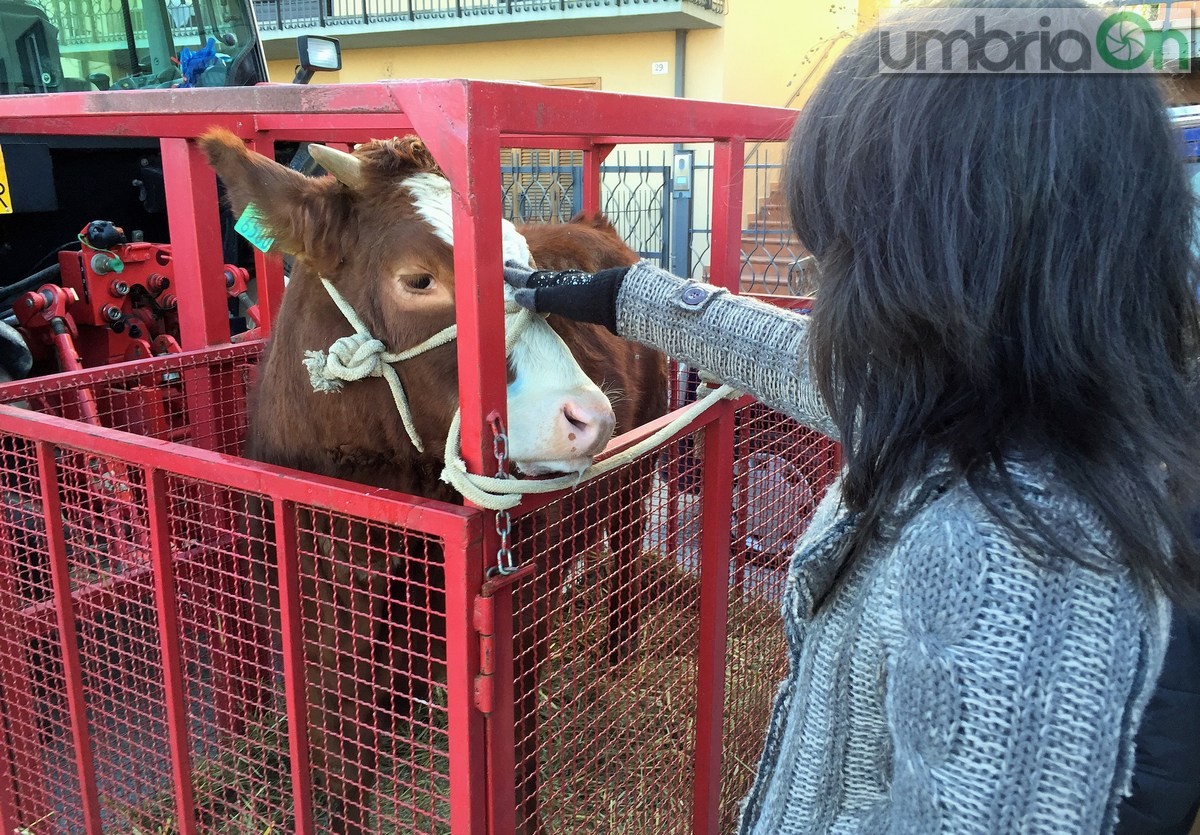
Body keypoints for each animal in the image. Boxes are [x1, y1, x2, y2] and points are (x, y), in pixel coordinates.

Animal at [199, 130, 667, 835]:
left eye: (527, 270)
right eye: (418, 278)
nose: (589, 416)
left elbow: (514, 736)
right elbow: (339, 729)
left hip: (637, 476)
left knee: (626, 556)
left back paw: (615, 661)